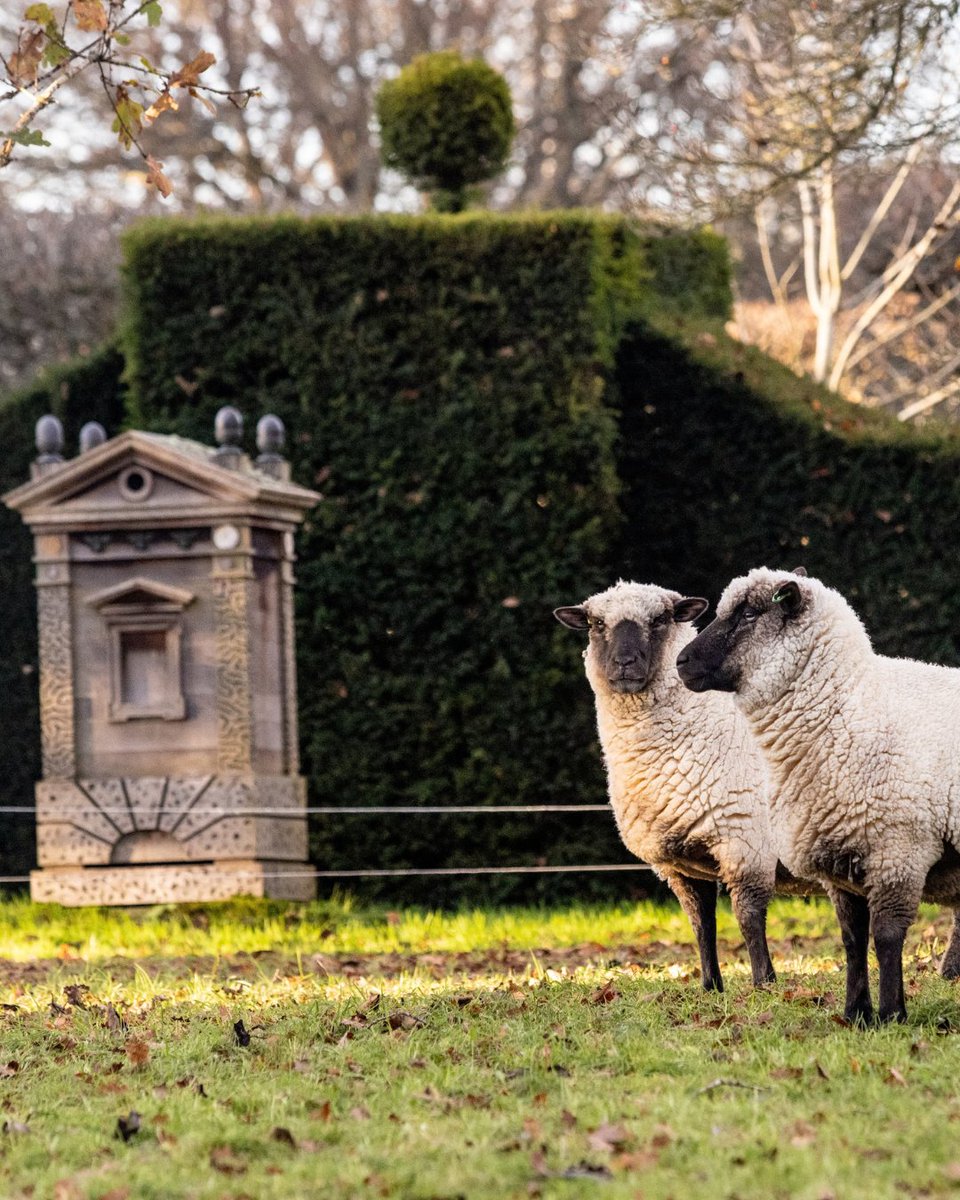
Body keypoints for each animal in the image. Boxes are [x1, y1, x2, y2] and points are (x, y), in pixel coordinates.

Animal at [555, 579, 800, 993]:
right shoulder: (682, 866)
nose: (625, 663)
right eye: (596, 623)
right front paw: (710, 986)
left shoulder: (745, 845)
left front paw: (764, 983)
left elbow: (749, 919)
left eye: (659, 619)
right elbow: (701, 925)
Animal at [676, 566, 960, 1024]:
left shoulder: (898, 849)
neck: (843, 710)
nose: (681, 663)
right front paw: (857, 1014)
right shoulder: (841, 862)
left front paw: (892, 1013)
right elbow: (851, 939)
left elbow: (886, 937)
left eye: (750, 613)